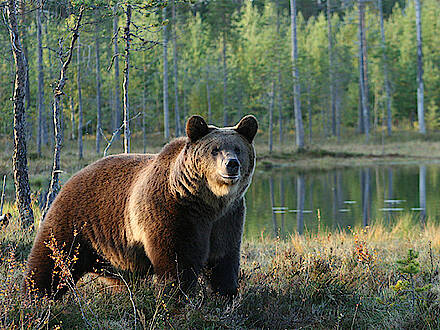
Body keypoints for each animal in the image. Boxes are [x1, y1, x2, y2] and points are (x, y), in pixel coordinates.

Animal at [23, 115, 258, 300]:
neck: (207, 202)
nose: (231, 164)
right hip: (75, 222)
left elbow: (224, 260)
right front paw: (178, 298)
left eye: (238, 149)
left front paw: (226, 296)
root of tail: (72, 178)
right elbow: (177, 262)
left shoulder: (228, 217)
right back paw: (35, 297)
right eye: (215, 150)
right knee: (52, 260)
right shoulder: (173, 212)